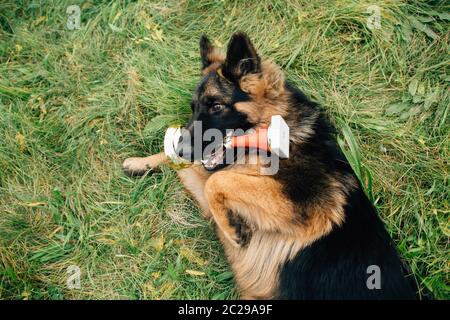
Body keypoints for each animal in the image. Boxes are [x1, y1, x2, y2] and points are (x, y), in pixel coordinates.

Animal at [123, 31, 418, 298]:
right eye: (193, 108)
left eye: (216, 106)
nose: (185, 150)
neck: (275, 133)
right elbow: (194, 170)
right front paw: (141, 162)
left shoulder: (307, 206)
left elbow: (218, 180)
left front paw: (232, 229)